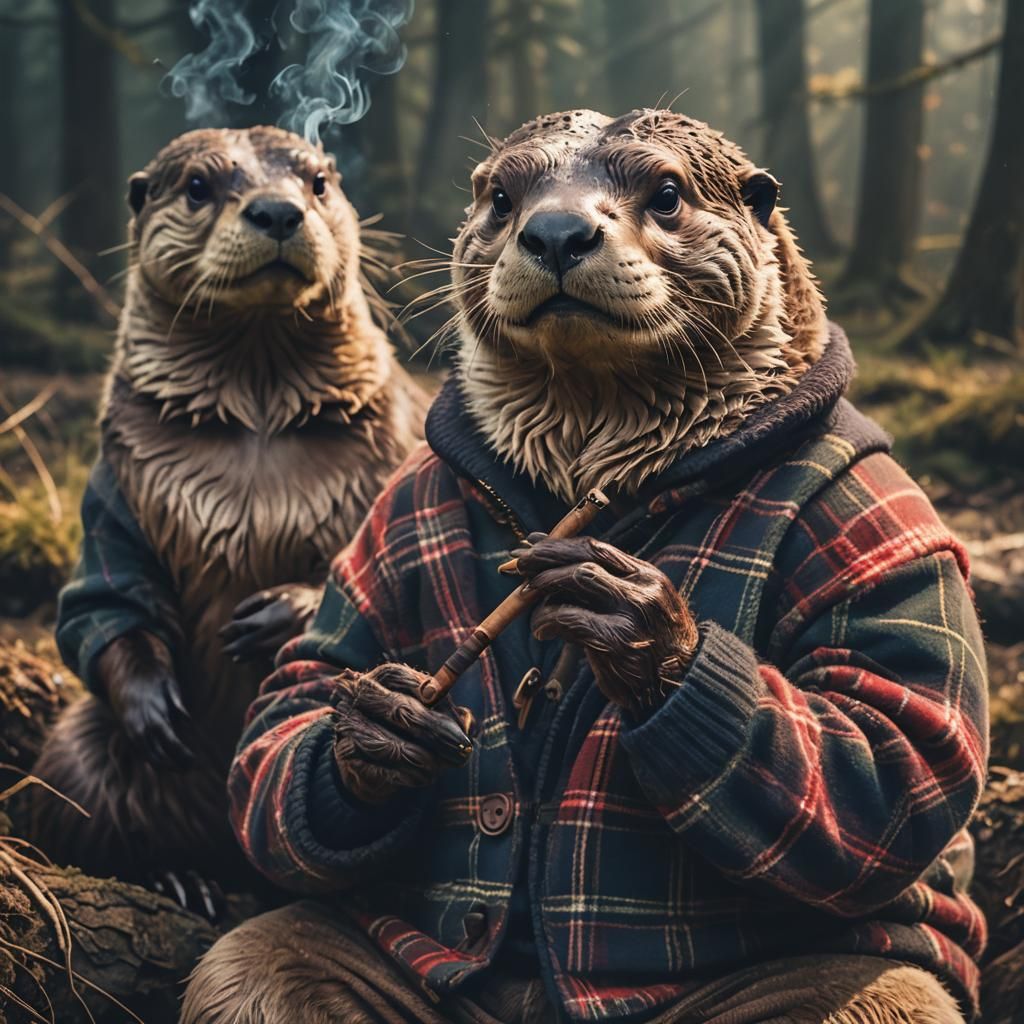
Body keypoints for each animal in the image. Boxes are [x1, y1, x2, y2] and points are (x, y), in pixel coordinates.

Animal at [31, 126, 427, 899]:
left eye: (318, 182)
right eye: (198, 186)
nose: (277, 211)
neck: (259, 445)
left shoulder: (398, 455)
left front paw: (272, 614)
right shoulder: (113, 496)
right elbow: (102, 602)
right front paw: (157, 711)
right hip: (73, 749)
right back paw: (184, 878)